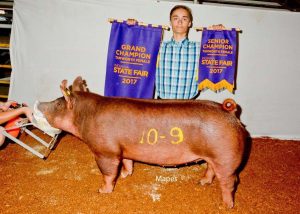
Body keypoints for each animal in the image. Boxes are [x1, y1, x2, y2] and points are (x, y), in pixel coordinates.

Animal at [37, 76, 248, 208]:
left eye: (58, 103)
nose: (38, 104)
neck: (84, 115)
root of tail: (229, 111)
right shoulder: (123, 150)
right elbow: (127, 163)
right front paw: (124, 176)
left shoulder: (106, 151)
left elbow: (108, 173)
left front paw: (102, 191)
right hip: (214, 156)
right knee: (212, 170)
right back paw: (202, 182)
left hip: (225, 157)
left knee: (230, 182)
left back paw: (226, 205)